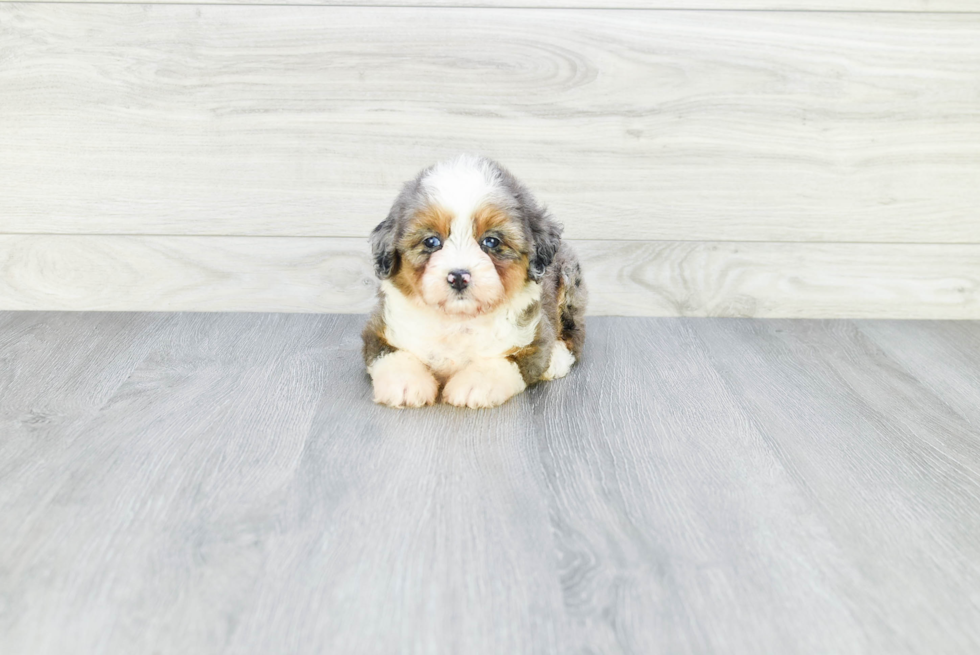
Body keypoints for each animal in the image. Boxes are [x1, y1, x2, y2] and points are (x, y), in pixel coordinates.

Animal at [362, 156, 584, 408]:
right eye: (431, 241)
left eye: (491, 241)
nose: (458, 277)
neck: (458, 321)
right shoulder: (379, 328)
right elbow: (391, 353)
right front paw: (406, 383)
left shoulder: (534, 334)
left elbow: (508, 359)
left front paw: (475, 385)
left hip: (569, 281)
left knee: (574, 335)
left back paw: (558, 359)